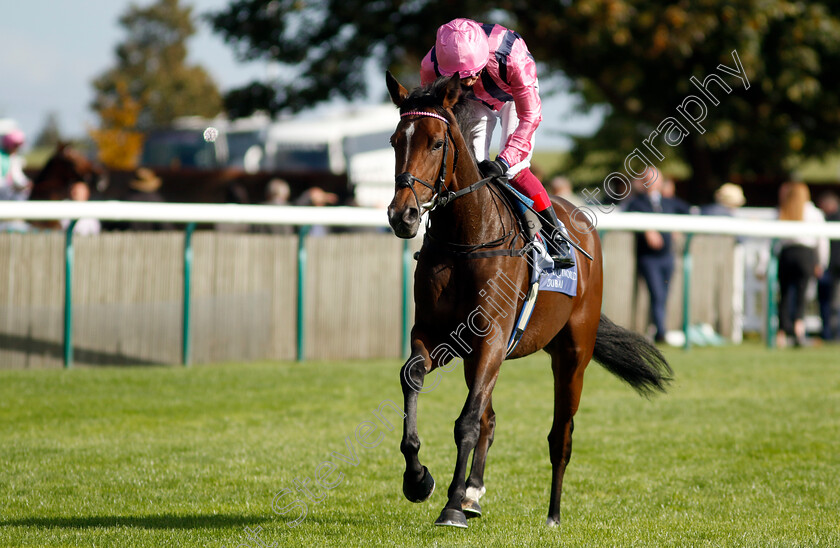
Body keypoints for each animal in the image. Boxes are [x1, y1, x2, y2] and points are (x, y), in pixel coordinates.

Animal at [386, 70, 668, 528]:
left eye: (437, 143)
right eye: (395, 140)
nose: (402, 215)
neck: (467, 238)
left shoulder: (492, 338)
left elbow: (466, 423)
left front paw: (451, 505)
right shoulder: (437, 335)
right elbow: (415, 380)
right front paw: (419, 480)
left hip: (572, 355)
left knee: (560, 436)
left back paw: (551, 514)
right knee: (491, 419)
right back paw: (473, 493)